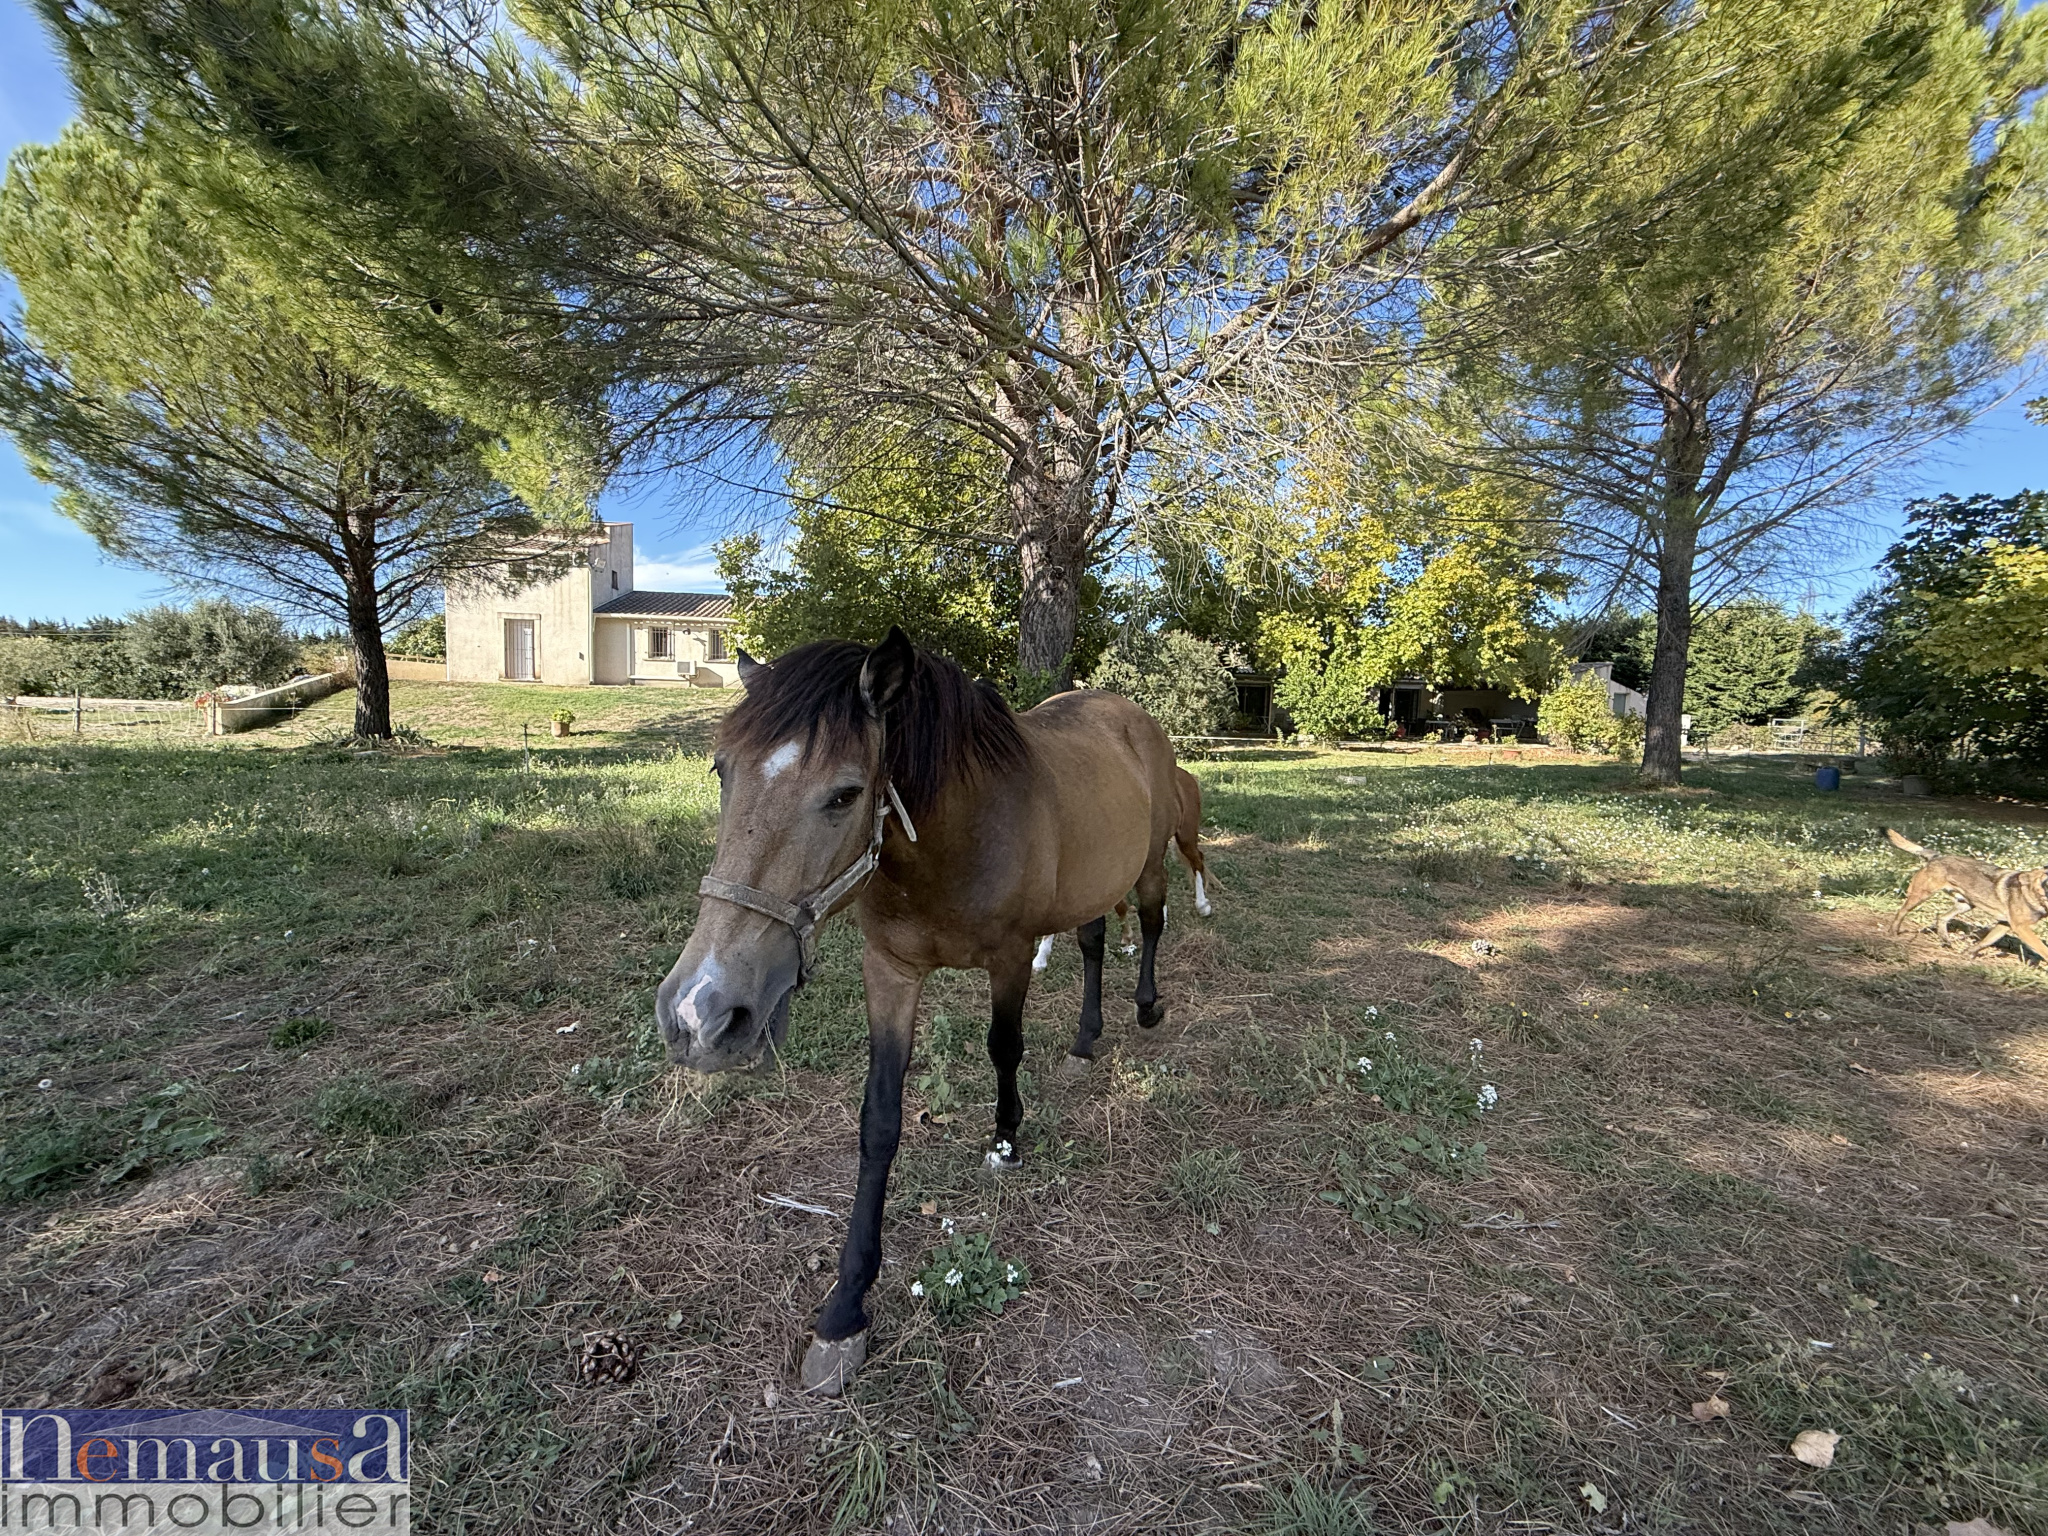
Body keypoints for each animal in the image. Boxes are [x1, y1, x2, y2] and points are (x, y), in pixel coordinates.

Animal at [654, 627, 1184, 1394]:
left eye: (846, 793)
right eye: (722, 771)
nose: (699, 1013)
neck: (954, 836)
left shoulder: (1010, 959)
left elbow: (1003, 1048)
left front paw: (1006, 1139)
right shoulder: (890, 972)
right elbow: (879, 1121)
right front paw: (846, 1309)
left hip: (1147, 865)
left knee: (1150, 921)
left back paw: (1145, 1008)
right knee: (1090, 941)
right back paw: (1086, 1041)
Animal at [1884, 828, 2047, 963]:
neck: (2036, 890)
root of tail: (1937, 856)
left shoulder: (2005, 924)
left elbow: (1986, 941)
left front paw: (1969, 952)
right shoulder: (2021, 928)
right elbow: (2043, 949)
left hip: (1965, 905)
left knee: (1941, 917)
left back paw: (1945, 940)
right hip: (1922, 895)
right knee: (1902, 911)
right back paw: (1893, 931)